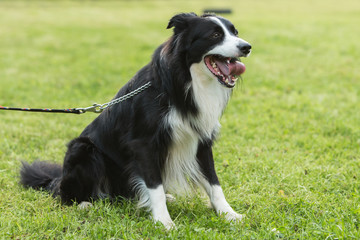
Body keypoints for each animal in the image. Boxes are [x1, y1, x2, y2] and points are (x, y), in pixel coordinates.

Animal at [19, 12, 250, 229]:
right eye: (215, 35)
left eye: (235, 32)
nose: (247, 47)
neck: (186, 80)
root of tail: (55, 179)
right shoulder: (144, 143)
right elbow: (155, 185)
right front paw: (164, 222)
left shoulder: (201, 138)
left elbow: (213, 182)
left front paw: (230, 214)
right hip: (83, 150)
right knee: (64, 193)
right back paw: (84, 203)